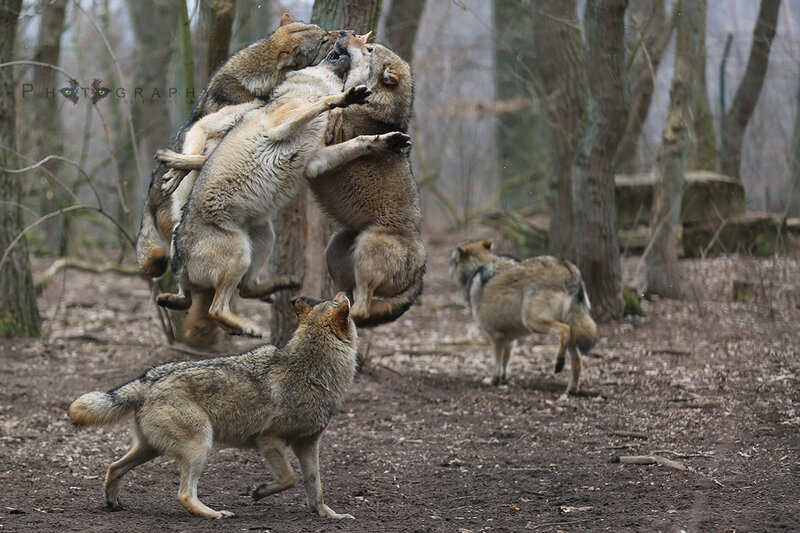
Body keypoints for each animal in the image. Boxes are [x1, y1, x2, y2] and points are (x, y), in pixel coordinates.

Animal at [69, 293, 358, 520]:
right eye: (339, 302)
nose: (345, 293)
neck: (315, 370)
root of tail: (149, 379)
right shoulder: (268, 439)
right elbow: (289, 478)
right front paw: (259, 492)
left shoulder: (308, 445)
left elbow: (316, 488)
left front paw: (329, 515)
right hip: (200, 445)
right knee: (184, 494)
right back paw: (214, 513)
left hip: (151, 449)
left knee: (113, 468)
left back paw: (113, 504)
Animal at [155, 34, 411, 340]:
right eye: (367, 48)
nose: (344, 34)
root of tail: (179, 263)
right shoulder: (282, 125)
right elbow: (324, 102)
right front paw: (344, 98)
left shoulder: (316, 161)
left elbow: (359, 142)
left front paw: (386, 140)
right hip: (239, 254)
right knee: (216, 308)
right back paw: (250, 327)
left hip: (263, 237)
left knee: (242, 290)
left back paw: (282, 287)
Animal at [448, 239, 597, 397]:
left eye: (452, 260)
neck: (478, 267)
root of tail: (567, 267)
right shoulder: (509, 339)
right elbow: (505, 363)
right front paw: (503, 379)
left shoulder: (494, 335)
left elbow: (497, 364)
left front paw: (493, 381)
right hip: (570, 330)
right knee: (578, 359)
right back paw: (572, 389)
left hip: (532, 321)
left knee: (564, 331)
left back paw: (559, 363)